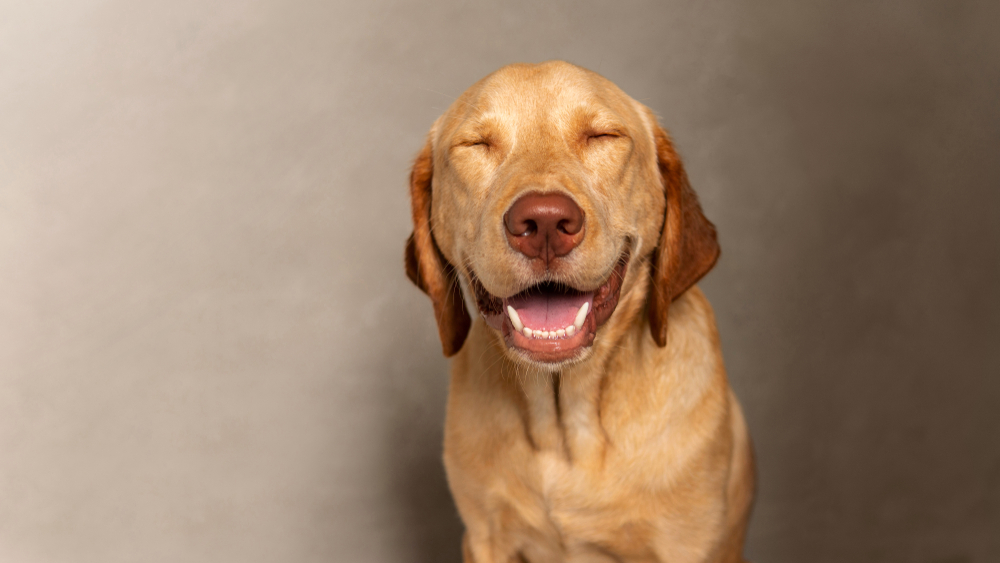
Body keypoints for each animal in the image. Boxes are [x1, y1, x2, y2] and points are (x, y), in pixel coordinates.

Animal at [402, 61, 752, 563]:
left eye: (602, 136)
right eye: (477, 144)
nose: (544, 222)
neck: (563, 427)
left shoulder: (687, 544)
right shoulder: (485, 537)